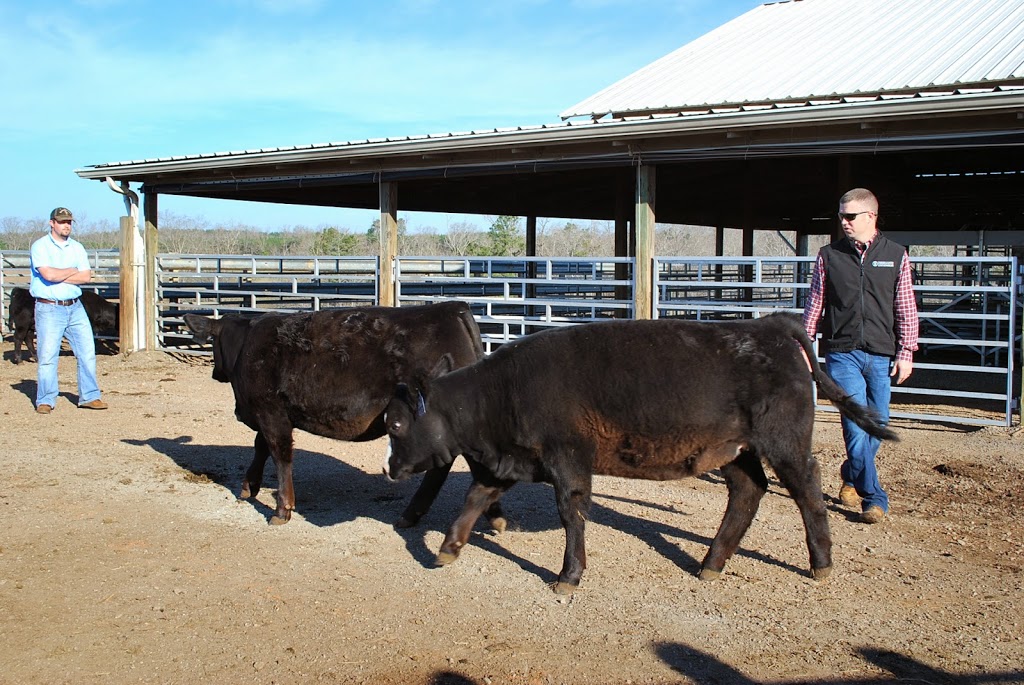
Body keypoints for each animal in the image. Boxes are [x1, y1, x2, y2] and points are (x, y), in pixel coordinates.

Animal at [184, 301, 503, 528]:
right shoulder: (272, 413)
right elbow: (260, 447)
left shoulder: (270, 411)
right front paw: (249, 486)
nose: (214, 372)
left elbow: (279, 454)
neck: (247, 346)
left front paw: (282, 509)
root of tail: (453, 308)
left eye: (213, 343)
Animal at [385, 311, 897, 593]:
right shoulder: (511, 462)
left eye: (395, 423)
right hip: (733, 450)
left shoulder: (568, 459)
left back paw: (821, 564)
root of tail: (766, 325)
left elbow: (572, 514)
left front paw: (569, 575)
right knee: (749, 491)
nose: (390, 468)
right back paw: (711, 564)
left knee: (808, 491)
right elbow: (474, 498)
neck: (503, 390)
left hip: (785, 441)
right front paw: (447, 549)